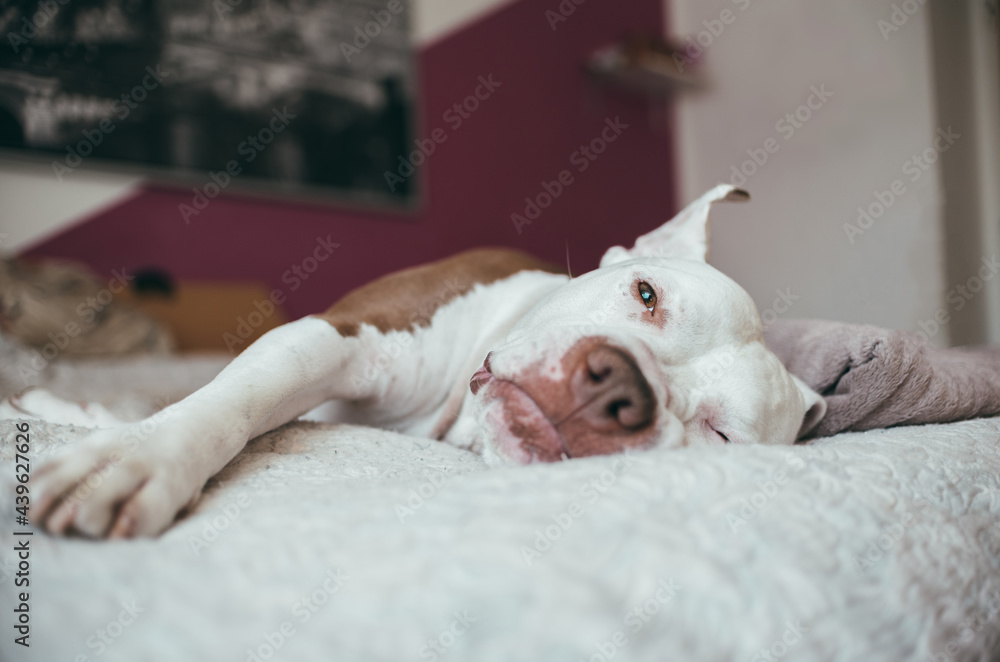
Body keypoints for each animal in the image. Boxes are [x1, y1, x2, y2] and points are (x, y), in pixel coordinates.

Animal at [33, 183, 828, 540]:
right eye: (647, 294)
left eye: (719, 433)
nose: (616, 390)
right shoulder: (334, 335)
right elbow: (240, 396)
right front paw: (140, 455)